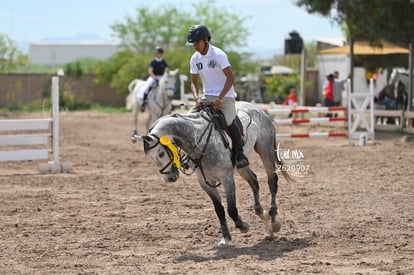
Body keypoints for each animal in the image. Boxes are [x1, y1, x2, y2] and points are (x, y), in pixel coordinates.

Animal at [134, 102, 292, 248]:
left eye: (160, 153)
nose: (169, 178)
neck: (198, 140)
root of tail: (259, 109)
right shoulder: (205, 183)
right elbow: (219, 210)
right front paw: (226, 238)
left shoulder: (227, 179)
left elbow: (231, 209)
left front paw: (243, 226)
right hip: (242, 166)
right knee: (254, 181)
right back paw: (262, 214)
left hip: (265, 151)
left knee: (272, 181)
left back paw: (274, 221)